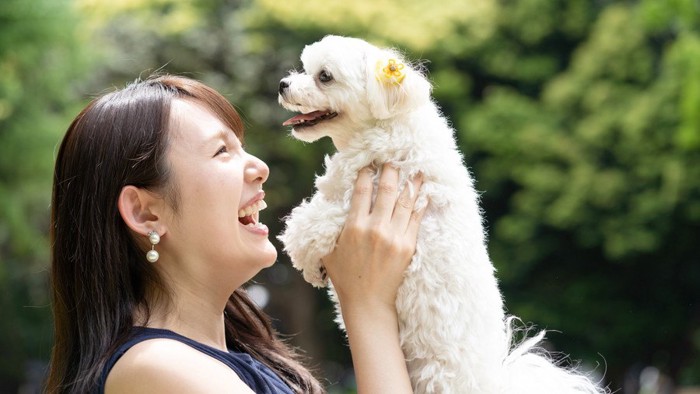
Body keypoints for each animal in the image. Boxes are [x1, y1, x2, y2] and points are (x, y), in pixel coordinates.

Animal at [276, 35, 604, 392]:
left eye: (325, 76)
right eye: (303, 68)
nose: (282, 85)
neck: (387, 125)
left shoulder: (361, 203)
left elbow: (308, 224)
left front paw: (307, 261)